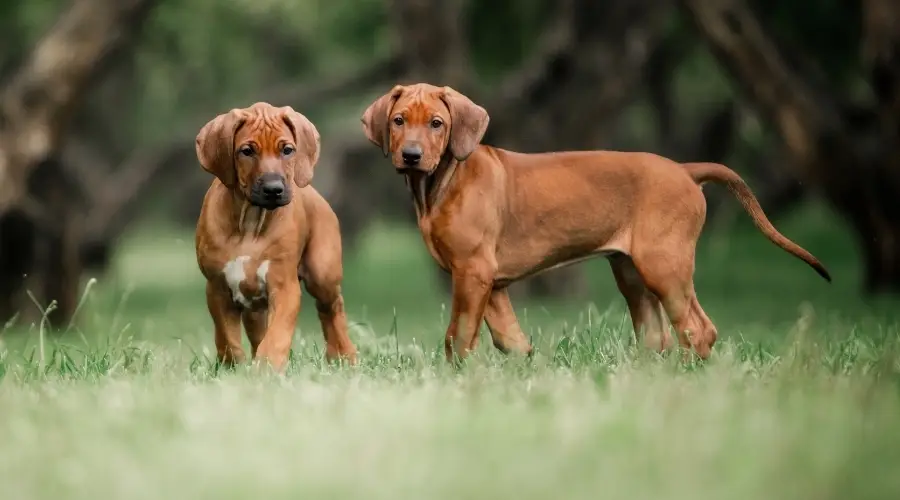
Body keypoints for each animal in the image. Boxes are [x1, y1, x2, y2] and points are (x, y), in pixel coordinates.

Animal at [195, 100, 356, 372]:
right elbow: (227, 338)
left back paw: (343, 355)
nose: (274, 189)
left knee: (331, 308)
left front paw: (266, 368)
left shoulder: (284, 287)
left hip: (322, 273)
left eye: (287, 150)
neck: (251, 221)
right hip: (254, 306)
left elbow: (277, 335)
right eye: (247, 151)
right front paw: (233, 369)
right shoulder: (217, 288)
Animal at [360, 83, 828, 364]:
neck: (442, 181)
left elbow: (457, 336)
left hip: (664, 265)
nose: (412, 155)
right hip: (632, 273)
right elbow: (509, 339)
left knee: (698, 329)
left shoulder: (473, 272)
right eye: (399, 121)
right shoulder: (489, 282)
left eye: (437, 123)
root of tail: (683, 169)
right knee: (656, 335)